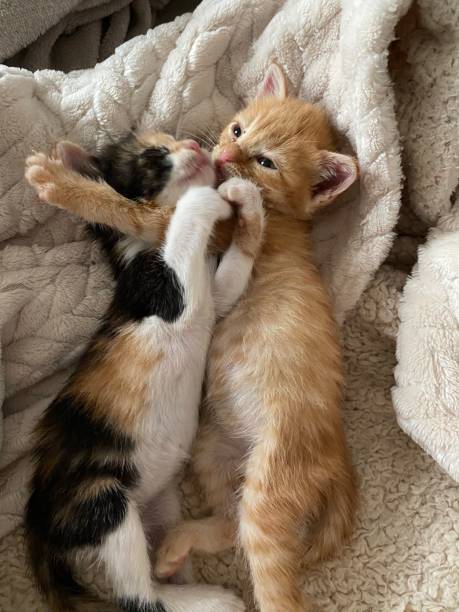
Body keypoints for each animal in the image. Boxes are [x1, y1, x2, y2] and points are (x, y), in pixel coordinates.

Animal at [24, 135, 266, 612]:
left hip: (158, 501)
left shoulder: (212, 298)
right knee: (138, 597)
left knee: (154, 572)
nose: (192, 143)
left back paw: (177, 566)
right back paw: (212, 599)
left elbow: (230, 282)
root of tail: (37, 526)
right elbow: (184, 216)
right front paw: (209, 196)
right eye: (155, 156)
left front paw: (246, 205)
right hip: (100, 501)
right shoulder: (168, 292)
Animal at [156, 64, 362, 608]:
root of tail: (338, 451)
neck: (290, 221)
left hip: (269, 488)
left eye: (266, 161)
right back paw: (176, 546)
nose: (225, 157)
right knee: (230, 527)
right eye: (238, 130)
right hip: (213, 451)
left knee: (271, 572)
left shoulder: (225, 239)